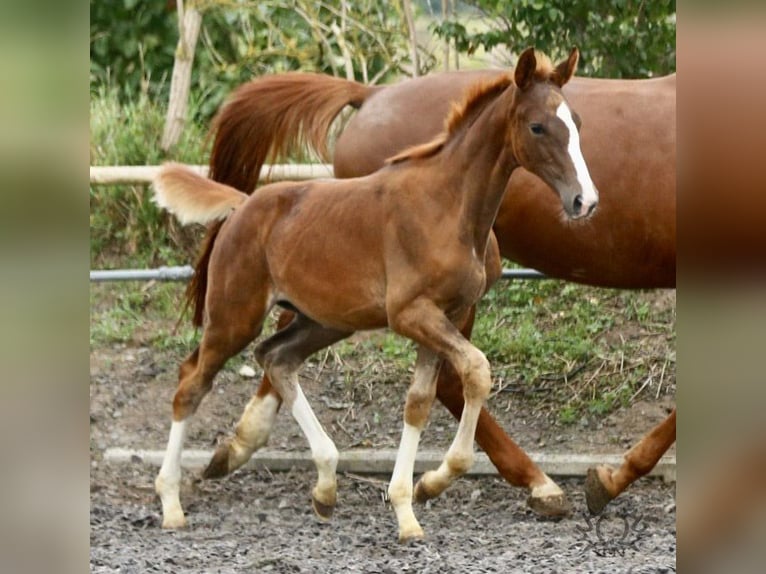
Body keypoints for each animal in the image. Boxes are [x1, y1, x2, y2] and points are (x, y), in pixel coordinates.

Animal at [153, 47, 598, 541]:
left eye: (577, 121)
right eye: (538, 126)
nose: (585, 201)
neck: (448, 205)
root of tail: (242, 205)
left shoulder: (447, 315)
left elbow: (419, 402)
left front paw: (416, 496)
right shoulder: (412, 314)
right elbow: (476, 370)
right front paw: (423, 490)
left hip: (324, 321)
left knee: (276, 358)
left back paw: (325, 486)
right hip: (235, 316)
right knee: (191, 383)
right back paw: (171, 502)